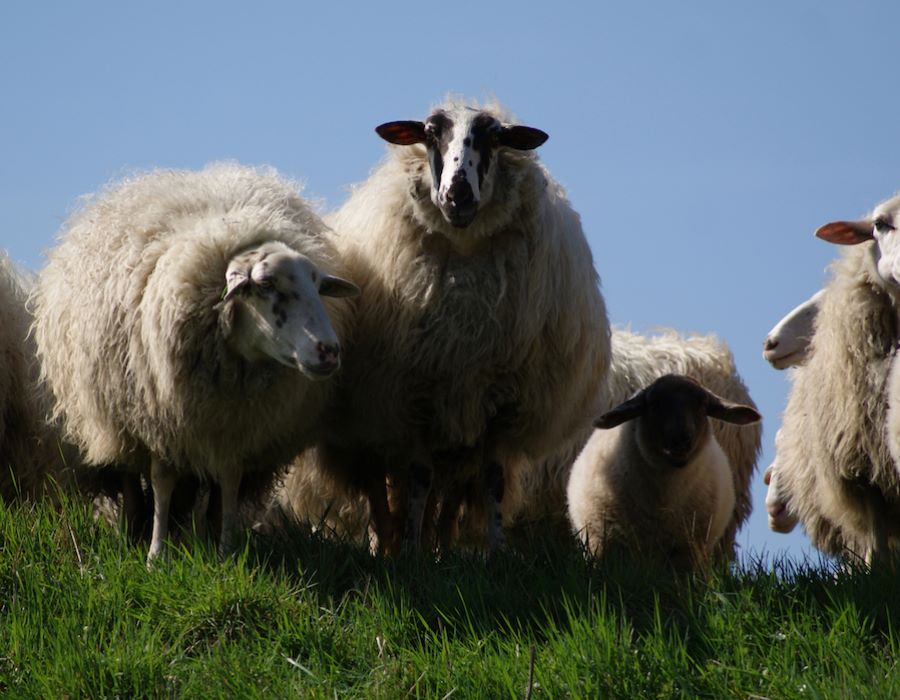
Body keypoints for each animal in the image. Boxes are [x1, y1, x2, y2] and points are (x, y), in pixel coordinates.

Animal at [32, 162, 359, 563]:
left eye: (317, 285)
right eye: (266, 284)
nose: (329, 350)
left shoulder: (234, 425)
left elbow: (229, 479)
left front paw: (226, 549)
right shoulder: (161, 418)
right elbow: (161, 480)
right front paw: (156, 555)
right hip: (114, 417)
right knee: (130, 476)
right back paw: (134, 529)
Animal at [302, 97, 611, 554]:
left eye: (495, 137)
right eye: (430, 133)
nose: (458, 195)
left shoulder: (501, 402)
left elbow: (491, 481)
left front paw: (496, 552)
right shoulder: (414, 396)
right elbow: (417, 479)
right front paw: (410, 550)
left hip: (459, 433)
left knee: (448, 496)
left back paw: (442, 548)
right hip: (371, 429)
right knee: (380, 491)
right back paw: (386, 546)